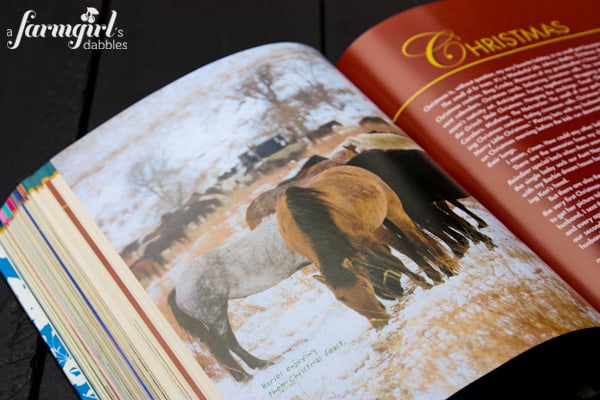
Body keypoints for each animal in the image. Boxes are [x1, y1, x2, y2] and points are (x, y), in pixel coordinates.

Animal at [274, 165, 452, 328]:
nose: (379, 321)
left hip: (393, 210)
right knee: (405, 246)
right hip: (377, 228)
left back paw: (446, 268)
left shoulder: (365, 239)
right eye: (341, 298)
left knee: (416, 240)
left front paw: (428, 282)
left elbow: (394, 262)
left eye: (365, 285)